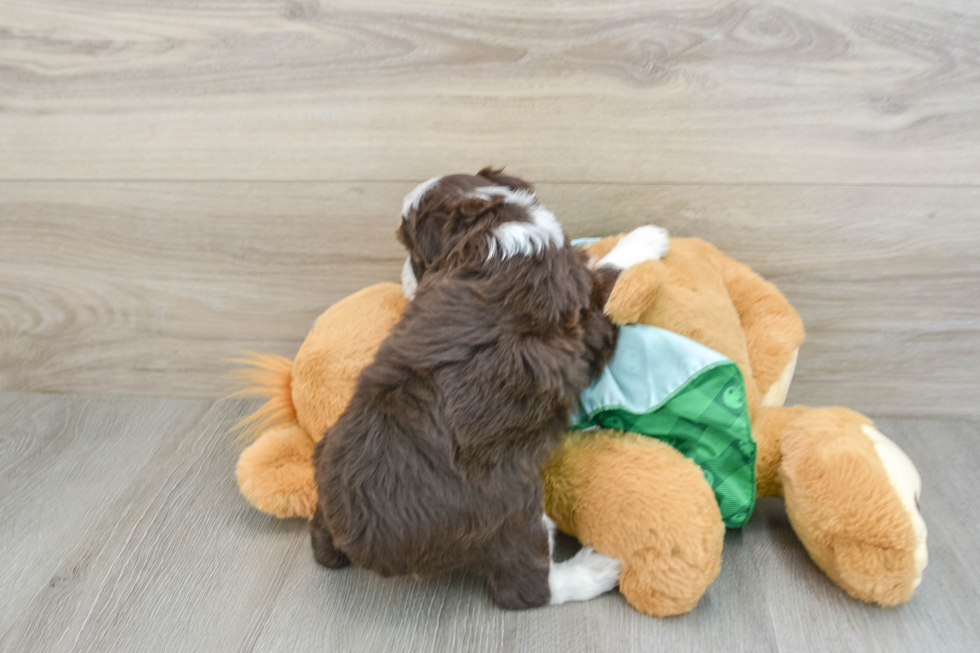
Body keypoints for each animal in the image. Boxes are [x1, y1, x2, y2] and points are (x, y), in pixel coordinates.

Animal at [310, 168, 668, 608]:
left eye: (412, 251)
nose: (405, 278)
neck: (493, 231)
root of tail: (362, 537)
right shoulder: (585, 312)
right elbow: (608, 273)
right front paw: (648, 238)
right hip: (511, 510)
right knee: (527, 585)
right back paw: (598, 568)